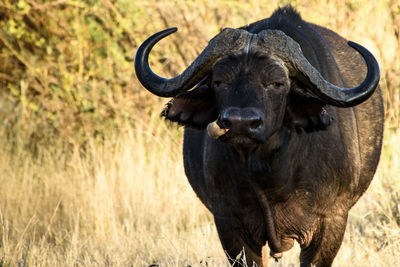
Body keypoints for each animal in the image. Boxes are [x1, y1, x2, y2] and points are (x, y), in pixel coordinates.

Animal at [135, 5, 384, 267]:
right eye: (219, 81)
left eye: (276, 83)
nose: (240, 123)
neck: (270, 175)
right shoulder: (229, 223)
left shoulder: (331, 221)